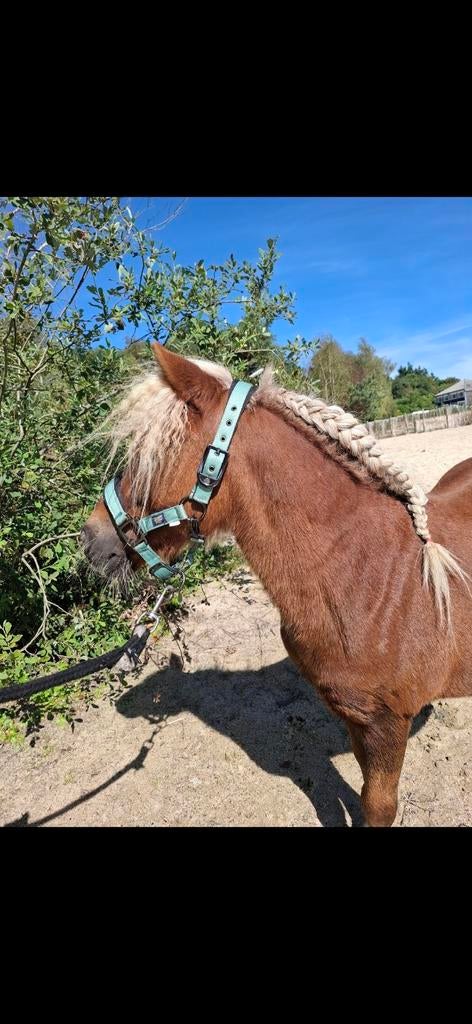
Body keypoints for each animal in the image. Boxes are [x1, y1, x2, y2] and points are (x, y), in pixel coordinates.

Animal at [81, 343, 472, 826]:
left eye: (148, 457)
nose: (91, 541)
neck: (370, 576)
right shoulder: (355, 719)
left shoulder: (387, 725)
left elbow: (377, 805)